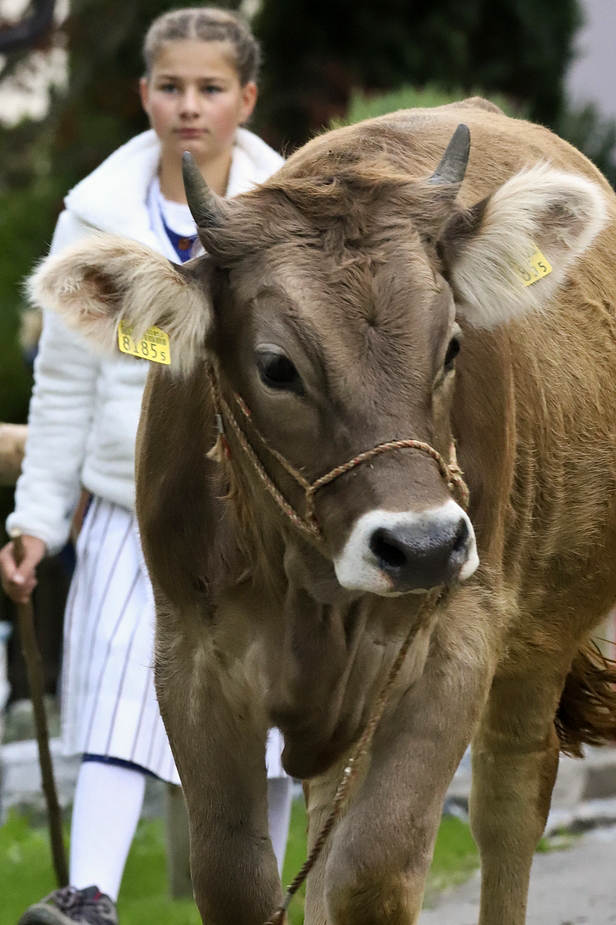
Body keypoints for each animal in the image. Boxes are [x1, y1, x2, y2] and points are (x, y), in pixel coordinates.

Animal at [27, 101, 616, 924]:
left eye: (452, 346)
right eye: (277, 367)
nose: (423, 544)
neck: (305, 579)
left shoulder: (454, 641)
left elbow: (373, 871)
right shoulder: (191, 659)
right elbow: (239, 879)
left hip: (543, 633)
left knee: (508, 804)